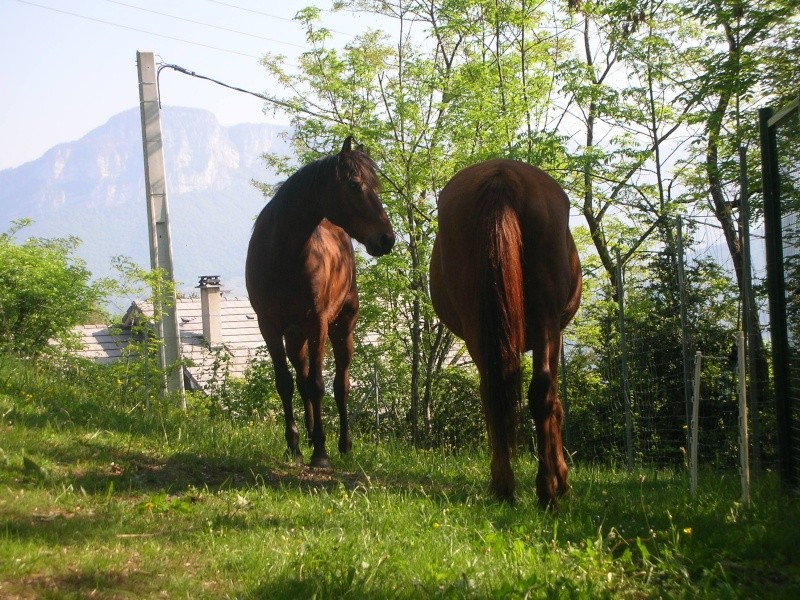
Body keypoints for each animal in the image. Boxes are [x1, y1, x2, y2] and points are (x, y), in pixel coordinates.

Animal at [244, 137, 394, 468]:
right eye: (355, 185)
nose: (387, 239)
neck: (282, 256)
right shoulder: (268, 326)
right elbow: (286, 383)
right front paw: (294, 446)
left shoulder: (318, 323)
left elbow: (318, 385)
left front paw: (321, 453)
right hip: (295, 337)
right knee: (301, 380)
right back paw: (310, 436)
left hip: (341, 329)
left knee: (340, 385)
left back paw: (343, 444)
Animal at [432, 159, 580, 506]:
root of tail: (500, 174)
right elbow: (555, 405)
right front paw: (562, 480)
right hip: (545, 321)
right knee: (541, 393)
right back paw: (546, 489)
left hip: (478, 326)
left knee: (492, 391)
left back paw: (504, 488)